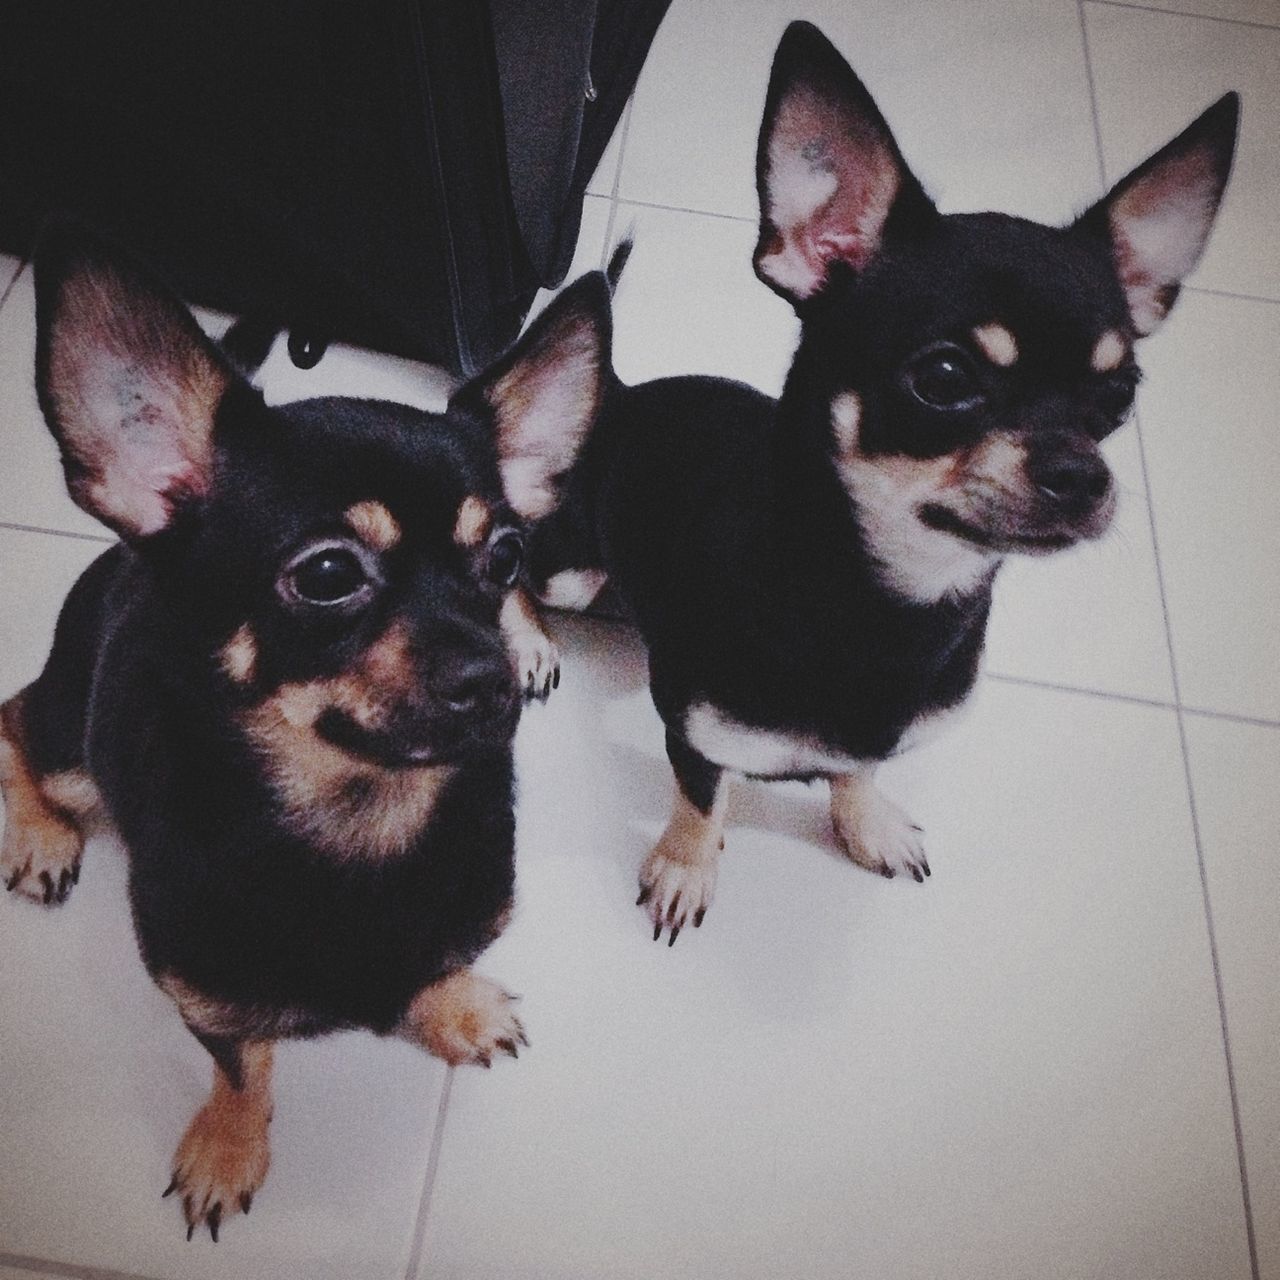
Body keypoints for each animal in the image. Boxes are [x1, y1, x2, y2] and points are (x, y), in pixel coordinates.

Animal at [1, 222, 609, 1239]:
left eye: (506, 558)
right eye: (328, 575)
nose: (492, 678)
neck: (366, 826)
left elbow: (437, 970)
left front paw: (457, 1011)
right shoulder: (208, 1004)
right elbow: (243, 1070)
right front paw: (228, 1150)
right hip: (75, 744)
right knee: (13, 719)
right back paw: (40, 834)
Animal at [524, 17, 1233, 942]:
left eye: (1119, 395)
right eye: (944, 377)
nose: (1082, 473)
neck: (891, 607)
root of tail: (620, 392)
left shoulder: (878, 738)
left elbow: (858, 770)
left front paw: (866, 822)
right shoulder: (693, 734)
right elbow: (702, 801)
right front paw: (686, 866)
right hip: (572, 571)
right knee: (520, 574)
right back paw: (530, 642)